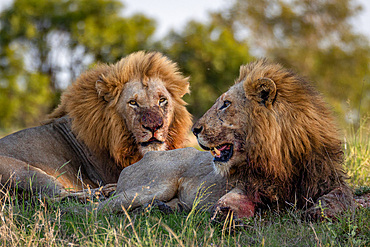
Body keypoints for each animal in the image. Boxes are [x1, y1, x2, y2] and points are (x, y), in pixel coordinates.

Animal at [0, 51, 192, 198]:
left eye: (162, 100)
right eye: (133, 103)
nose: (154, 127)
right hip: (23, 171)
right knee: (58, 196)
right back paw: (105, 191)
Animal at [192, 59, 354, 220]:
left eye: (226, 104)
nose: (194, 130)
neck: (282, 156)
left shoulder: (325, 176)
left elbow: (340, 195)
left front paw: (319, 212)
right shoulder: (255, 182)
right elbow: (236, 195)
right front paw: (226, 210)